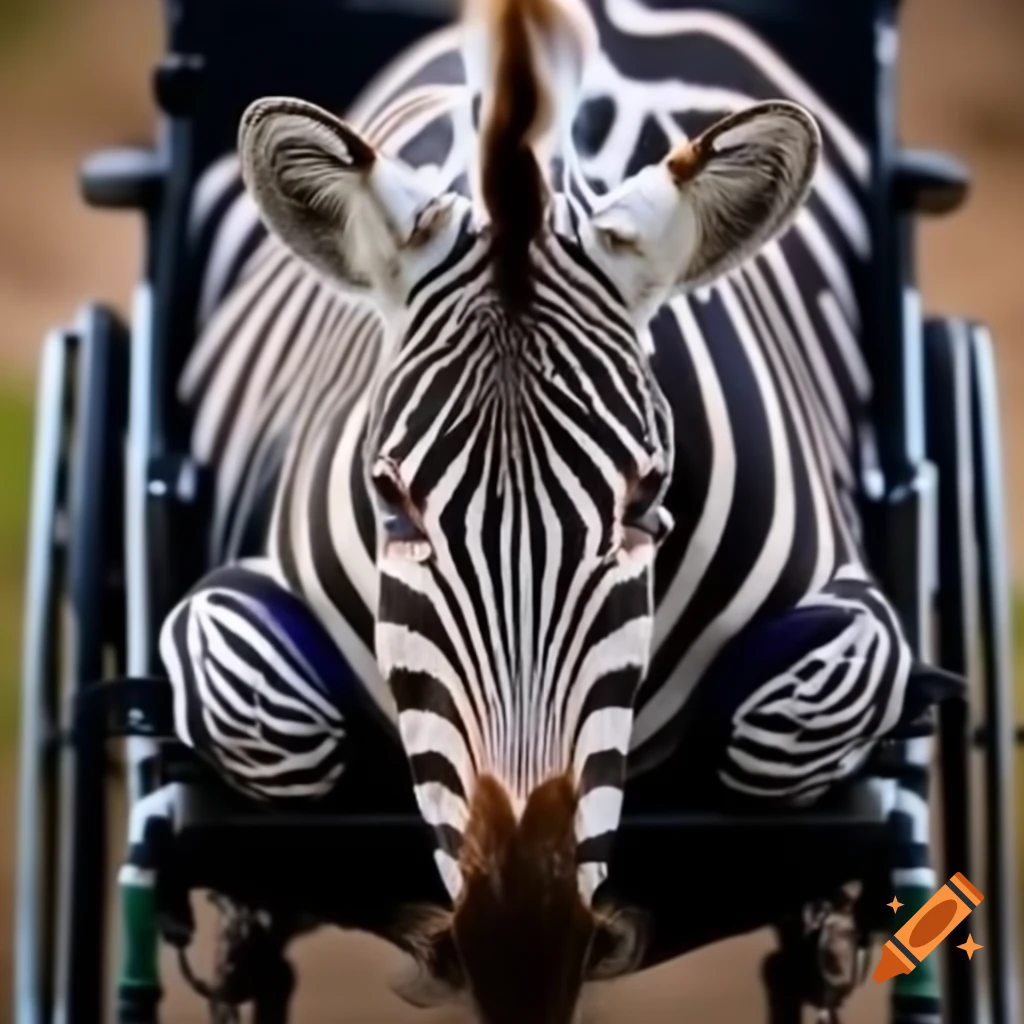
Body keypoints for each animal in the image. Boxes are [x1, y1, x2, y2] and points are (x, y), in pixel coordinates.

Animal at [158, 0, 945, 1018]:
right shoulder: (226, 606)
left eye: (648, 495)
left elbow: (785, 727)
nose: (521, 950)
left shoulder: (857, 617)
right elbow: (274, 728)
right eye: (390, 499)